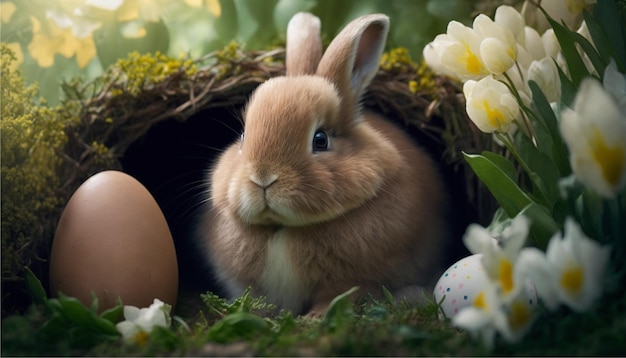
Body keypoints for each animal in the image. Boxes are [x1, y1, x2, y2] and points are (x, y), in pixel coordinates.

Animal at [197, 12, 446, 318]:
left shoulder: (354, 279)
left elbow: (337, 296)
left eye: (320, 140)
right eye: (243, 136)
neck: (283, 229)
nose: (262, 178)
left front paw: (314, 319)